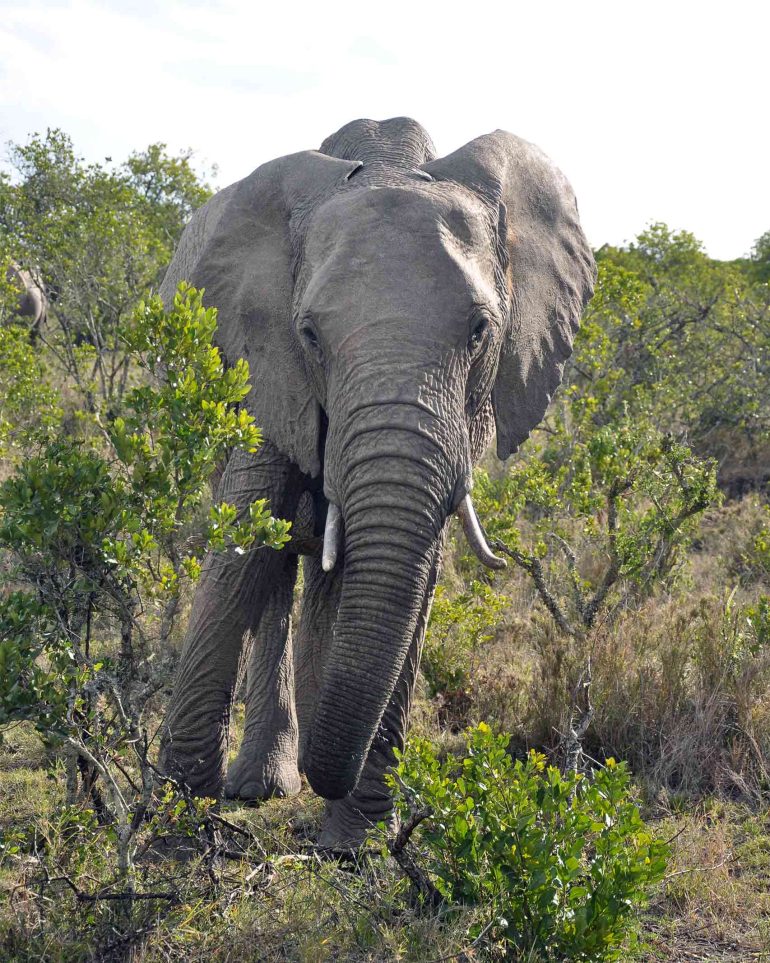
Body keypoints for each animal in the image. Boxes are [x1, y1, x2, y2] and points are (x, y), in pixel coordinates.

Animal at [158, 117, 595, 848]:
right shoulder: (265, 368)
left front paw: (354, 846)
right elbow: (243, 544)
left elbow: (414, 577)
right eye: (309, 334)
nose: (327, 775)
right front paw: (170, 819)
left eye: (480, 332)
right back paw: (258, 786)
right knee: (277, 564)